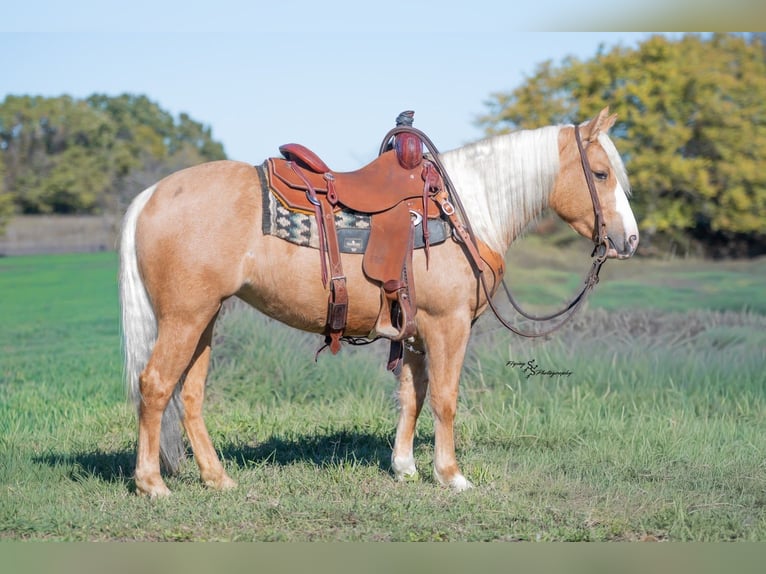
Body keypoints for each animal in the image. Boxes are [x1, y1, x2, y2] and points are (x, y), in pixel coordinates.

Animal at [119, 107, 639, 497]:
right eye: (600, 173)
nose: (629, 240)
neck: (465, 209)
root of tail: (151, 194)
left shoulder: (413, 331)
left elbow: (413, 395)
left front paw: (405, 467)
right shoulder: (448, 325)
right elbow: (445, 398)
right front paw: (450, 475)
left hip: (205, 319)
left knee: (189, 394)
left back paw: (217, 478)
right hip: (185, 317)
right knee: (155, 385)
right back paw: (152, 484)